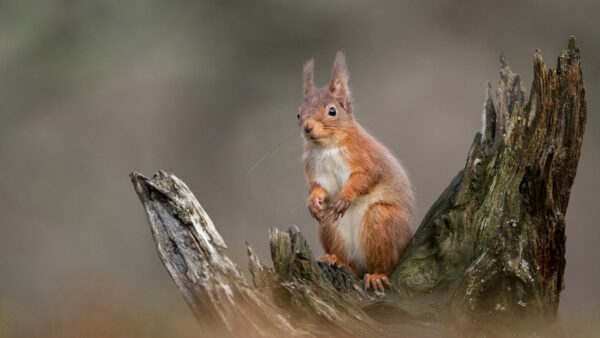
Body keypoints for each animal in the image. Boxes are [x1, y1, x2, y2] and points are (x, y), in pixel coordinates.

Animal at [298, 51, 414, 292]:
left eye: (332, 111)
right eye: (298, 114)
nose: (308, 127)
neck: (328, 147)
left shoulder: (368, 160)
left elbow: (363, 179)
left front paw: (344, 197)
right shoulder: (314, 168)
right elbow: (319, 188)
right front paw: (313, 202)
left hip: (383, 223)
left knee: (385, 263)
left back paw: (377, 275)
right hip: (330, 227)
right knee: (351, 265)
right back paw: (336, 260)